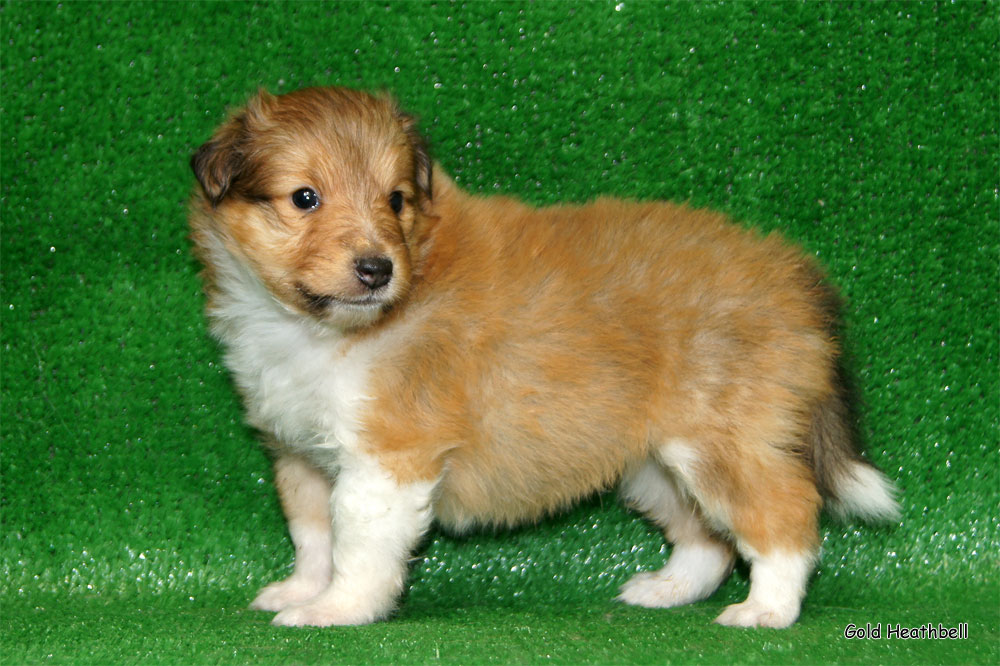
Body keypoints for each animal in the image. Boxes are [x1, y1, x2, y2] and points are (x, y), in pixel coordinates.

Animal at [189, 85, 900, 624]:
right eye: (304, 197)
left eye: (396, 199)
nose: (376, 270)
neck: (318, 328)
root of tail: (791, 275)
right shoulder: (299, 453)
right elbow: (313, 534)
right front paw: (299, 591)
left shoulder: (388, 457)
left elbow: (355, 544)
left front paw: (333, 611)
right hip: (653, 459)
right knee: (707, 538)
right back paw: (667, 591)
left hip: (716, 440)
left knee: (786, 515)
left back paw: (765, 612)